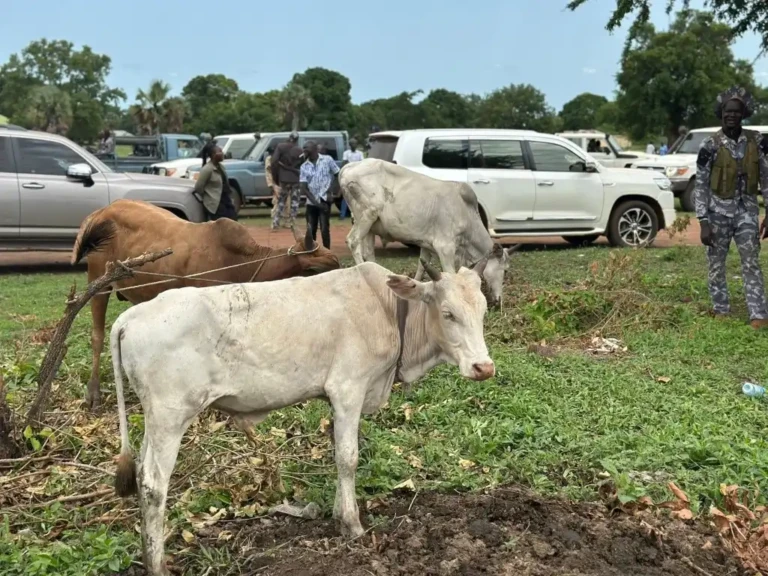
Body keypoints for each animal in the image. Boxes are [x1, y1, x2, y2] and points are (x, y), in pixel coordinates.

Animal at [70, 199, 340, 410]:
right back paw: (94, 392)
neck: (240, 261)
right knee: (97, 335)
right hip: (98, 282)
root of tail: (101, 212)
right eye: (315, 269)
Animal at [109, 258, 494, 575]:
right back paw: (157, 565)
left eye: (483, 310)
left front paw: (339, 514)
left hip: (155, 420)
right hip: (171, 415)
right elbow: (348, 458)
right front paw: (352, 525)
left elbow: (338, 456)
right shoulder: (348, 389)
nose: (484, 367)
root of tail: (130, 317)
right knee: (154, 483)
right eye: (448, 313)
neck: (387, 309)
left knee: (142, 473)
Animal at [340, 158, 518, 307]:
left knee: (369, 253)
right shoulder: (445, 248)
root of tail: (348, 167)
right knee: (353, 241)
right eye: (505, 270)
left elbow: (421, 267)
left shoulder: (426, 245)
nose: (498, 301)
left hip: (371, 227)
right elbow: (450, 273)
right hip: (366, 215)